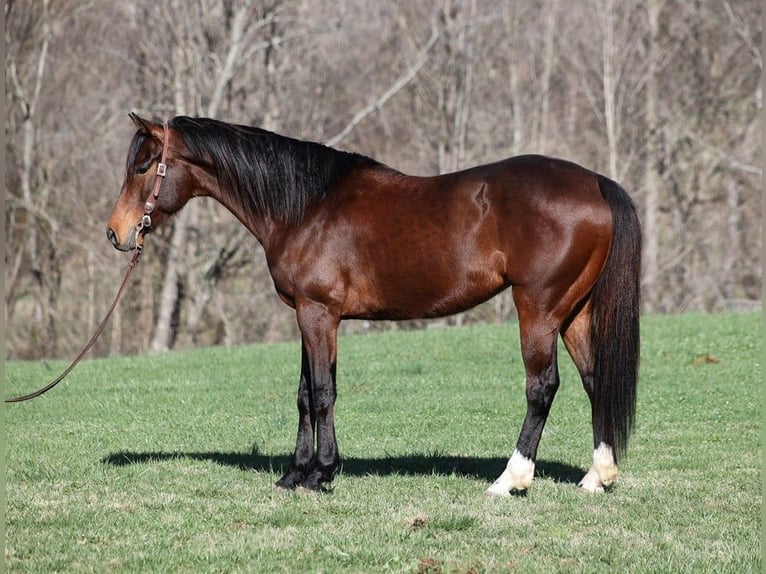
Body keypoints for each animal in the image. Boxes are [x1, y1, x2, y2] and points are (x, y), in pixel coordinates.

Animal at [106, 115, 640, 498]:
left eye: (142, 166)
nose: (116, 233)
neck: (305, 206)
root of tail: (595, 183)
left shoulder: (318, 312)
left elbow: (322, 392)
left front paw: (320, 474)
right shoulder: (307, 314)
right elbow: (304, 394)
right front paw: (294, 474)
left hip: (539, 310)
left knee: (542, 387)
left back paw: (511, 480)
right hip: (574, 312)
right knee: (595, 380)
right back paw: (597, 477)